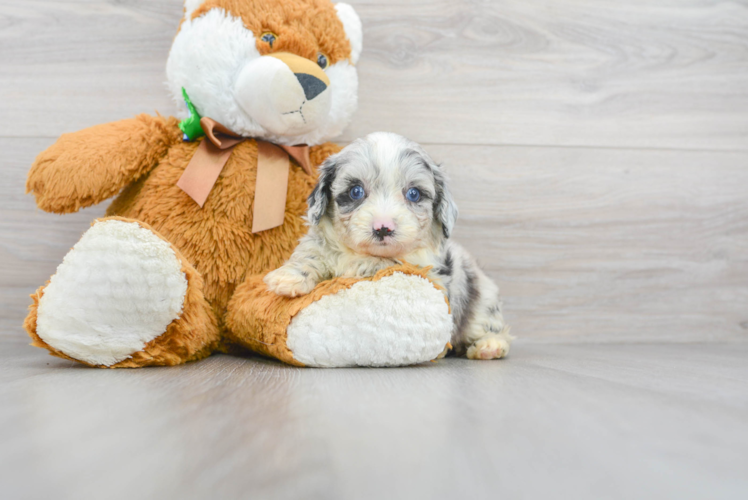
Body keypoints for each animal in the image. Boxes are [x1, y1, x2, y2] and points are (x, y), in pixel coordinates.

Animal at [264, 133, 516, 360]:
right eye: (356, 191)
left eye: (413, 194)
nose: (382, 228)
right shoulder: (320, 242)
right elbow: (311, 254)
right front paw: (288, 277)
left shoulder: (427, 271)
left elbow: (386, 263)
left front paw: (360, 265)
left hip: (483, 301)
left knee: (492, 327)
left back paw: (490, 346)